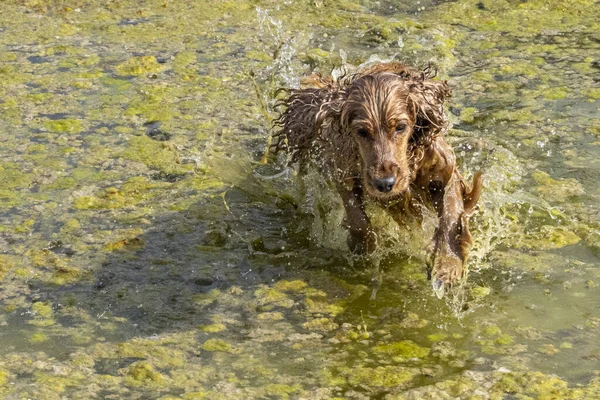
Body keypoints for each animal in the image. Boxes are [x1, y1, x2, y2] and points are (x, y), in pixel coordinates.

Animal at [272, 62, 482, 294]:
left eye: (400, 127)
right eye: (362, 132)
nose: (385, 184)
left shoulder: (444, 170)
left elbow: (451, 214)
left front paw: (447, 266)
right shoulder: (344, 170)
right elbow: (357, 217)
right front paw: (364, 248)